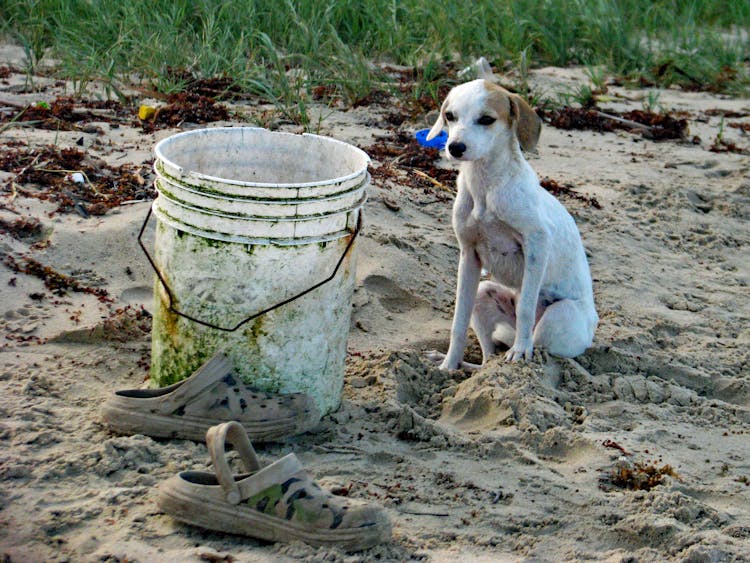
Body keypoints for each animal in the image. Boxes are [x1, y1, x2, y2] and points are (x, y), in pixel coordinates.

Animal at [428, 79, 600, 370]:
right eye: (450, 116)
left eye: (486, 119)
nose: (455, 148)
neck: (486, 187)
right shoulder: (469, 256)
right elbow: (458, 321)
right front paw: (448, 366)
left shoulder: (537, 244)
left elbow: (526, 308)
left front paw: (519, 352)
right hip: (483, 293)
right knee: (488, 358)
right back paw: (468, 367)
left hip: (559, 317)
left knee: (538, 344)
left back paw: (522, 353)